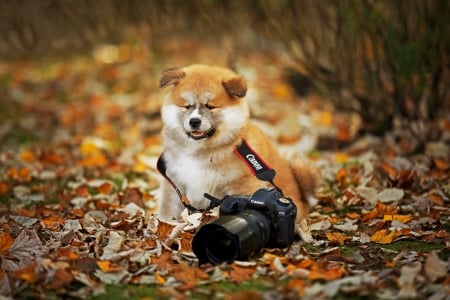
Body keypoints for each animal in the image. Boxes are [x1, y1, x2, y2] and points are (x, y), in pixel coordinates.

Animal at [156, 64, 318, 221]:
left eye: (210, 106)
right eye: (186, 106)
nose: (194, 121)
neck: (199, 150)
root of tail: (302, 198)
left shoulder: (241, 184)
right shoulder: (174, 182)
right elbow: (167, 210)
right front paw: (164, 224)